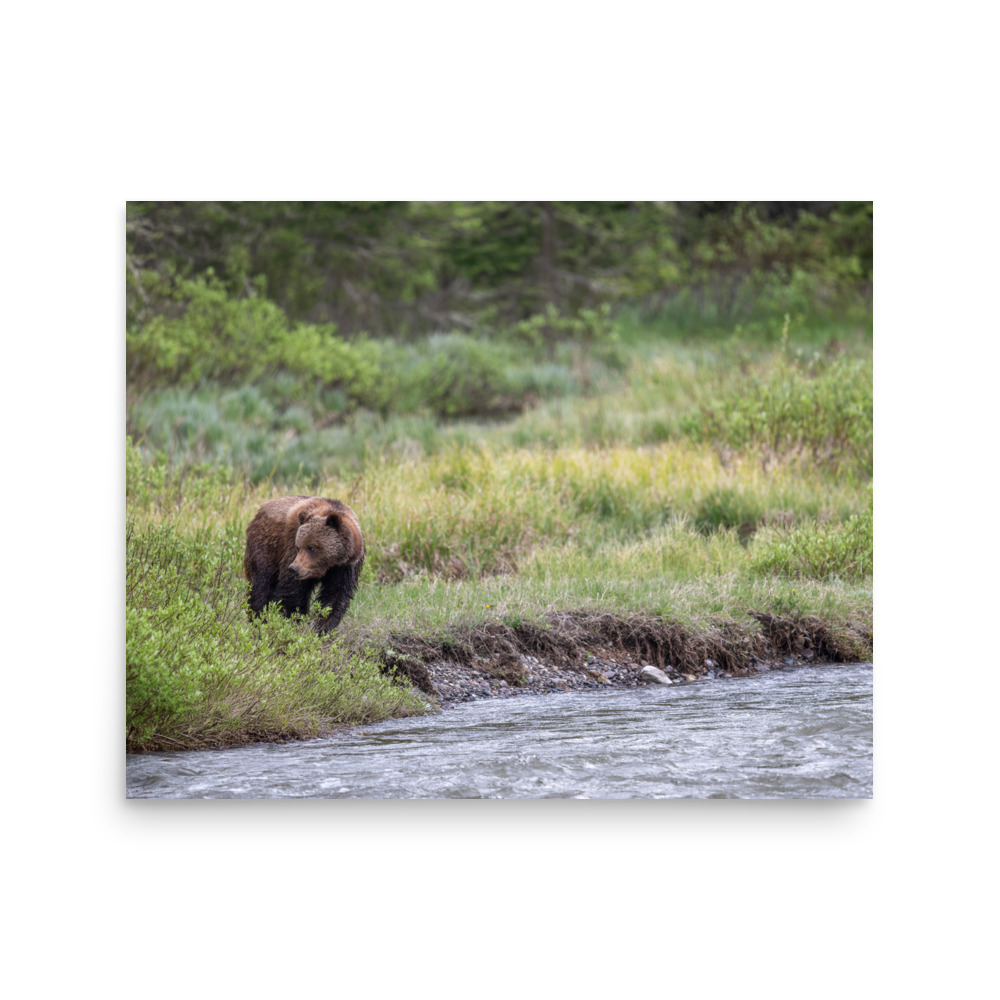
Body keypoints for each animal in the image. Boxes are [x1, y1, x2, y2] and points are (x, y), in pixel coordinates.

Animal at [244, 495, 365, 633]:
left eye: (311, 547)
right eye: (298, 547)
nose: (294, 568)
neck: (328, 565)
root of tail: (260, 510)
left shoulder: (345, 567)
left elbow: (335, 596)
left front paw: (322, 627)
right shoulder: (291, 547)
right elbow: (292, 592)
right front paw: (291, 622)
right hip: (266, 547)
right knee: (261, 585)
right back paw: (258, 620)